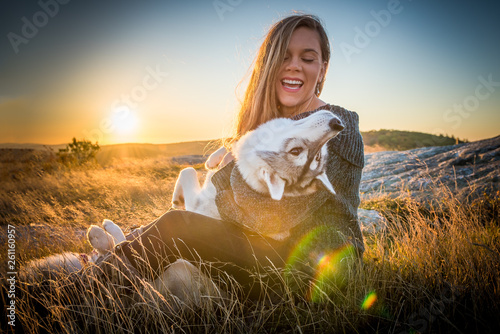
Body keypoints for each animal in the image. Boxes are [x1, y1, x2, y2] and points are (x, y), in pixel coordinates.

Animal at [172, 110, 344, 219]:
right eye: (296, 151)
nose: (338, 124)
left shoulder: (195, 205)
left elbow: (188, 171)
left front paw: (176, 199)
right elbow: (233, 143)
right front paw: (212, 160)